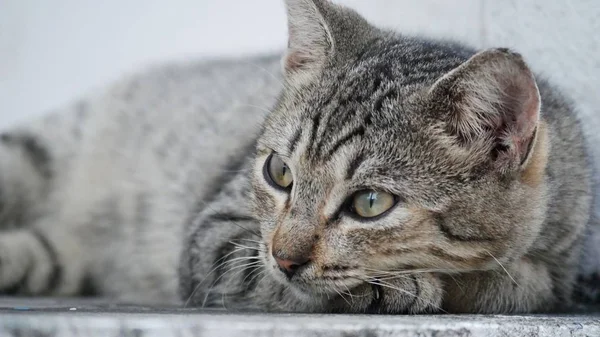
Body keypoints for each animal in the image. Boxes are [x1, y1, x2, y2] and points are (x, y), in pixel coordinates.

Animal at [0, 0, 596, 314]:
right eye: (279, 172)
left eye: (371, 203)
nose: (285, 257)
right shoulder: (213, 238)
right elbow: (279, 281)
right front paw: (407, 287)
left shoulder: (559, 258)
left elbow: (524, 282)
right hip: (36, 152)